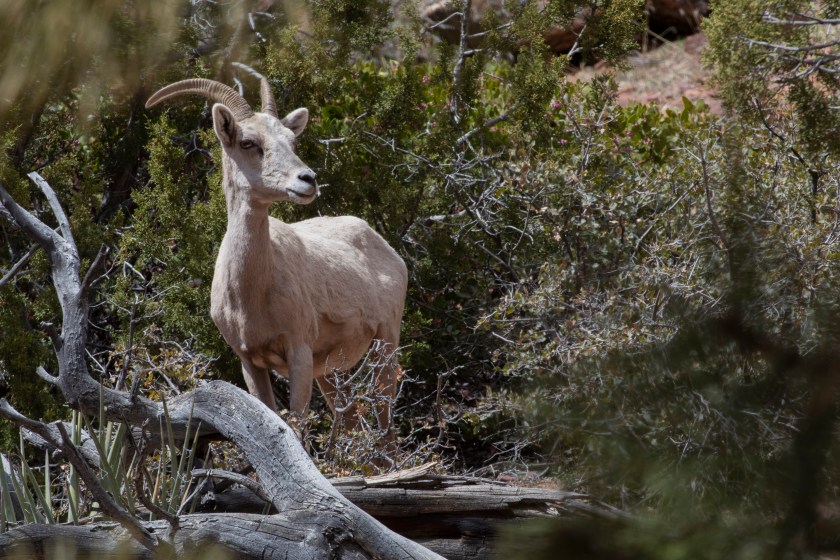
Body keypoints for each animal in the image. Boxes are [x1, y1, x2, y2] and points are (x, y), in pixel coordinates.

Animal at [145, 77, 408, 443]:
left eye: (291, 140)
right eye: (247, 142)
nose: (308, 180)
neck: (252, 295)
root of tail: (388, 251)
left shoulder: (299, 352)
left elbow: (296, 428)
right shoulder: (250, 362)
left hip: (385, 344)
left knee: (386, 426)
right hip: (330, 370)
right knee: (352, 420)